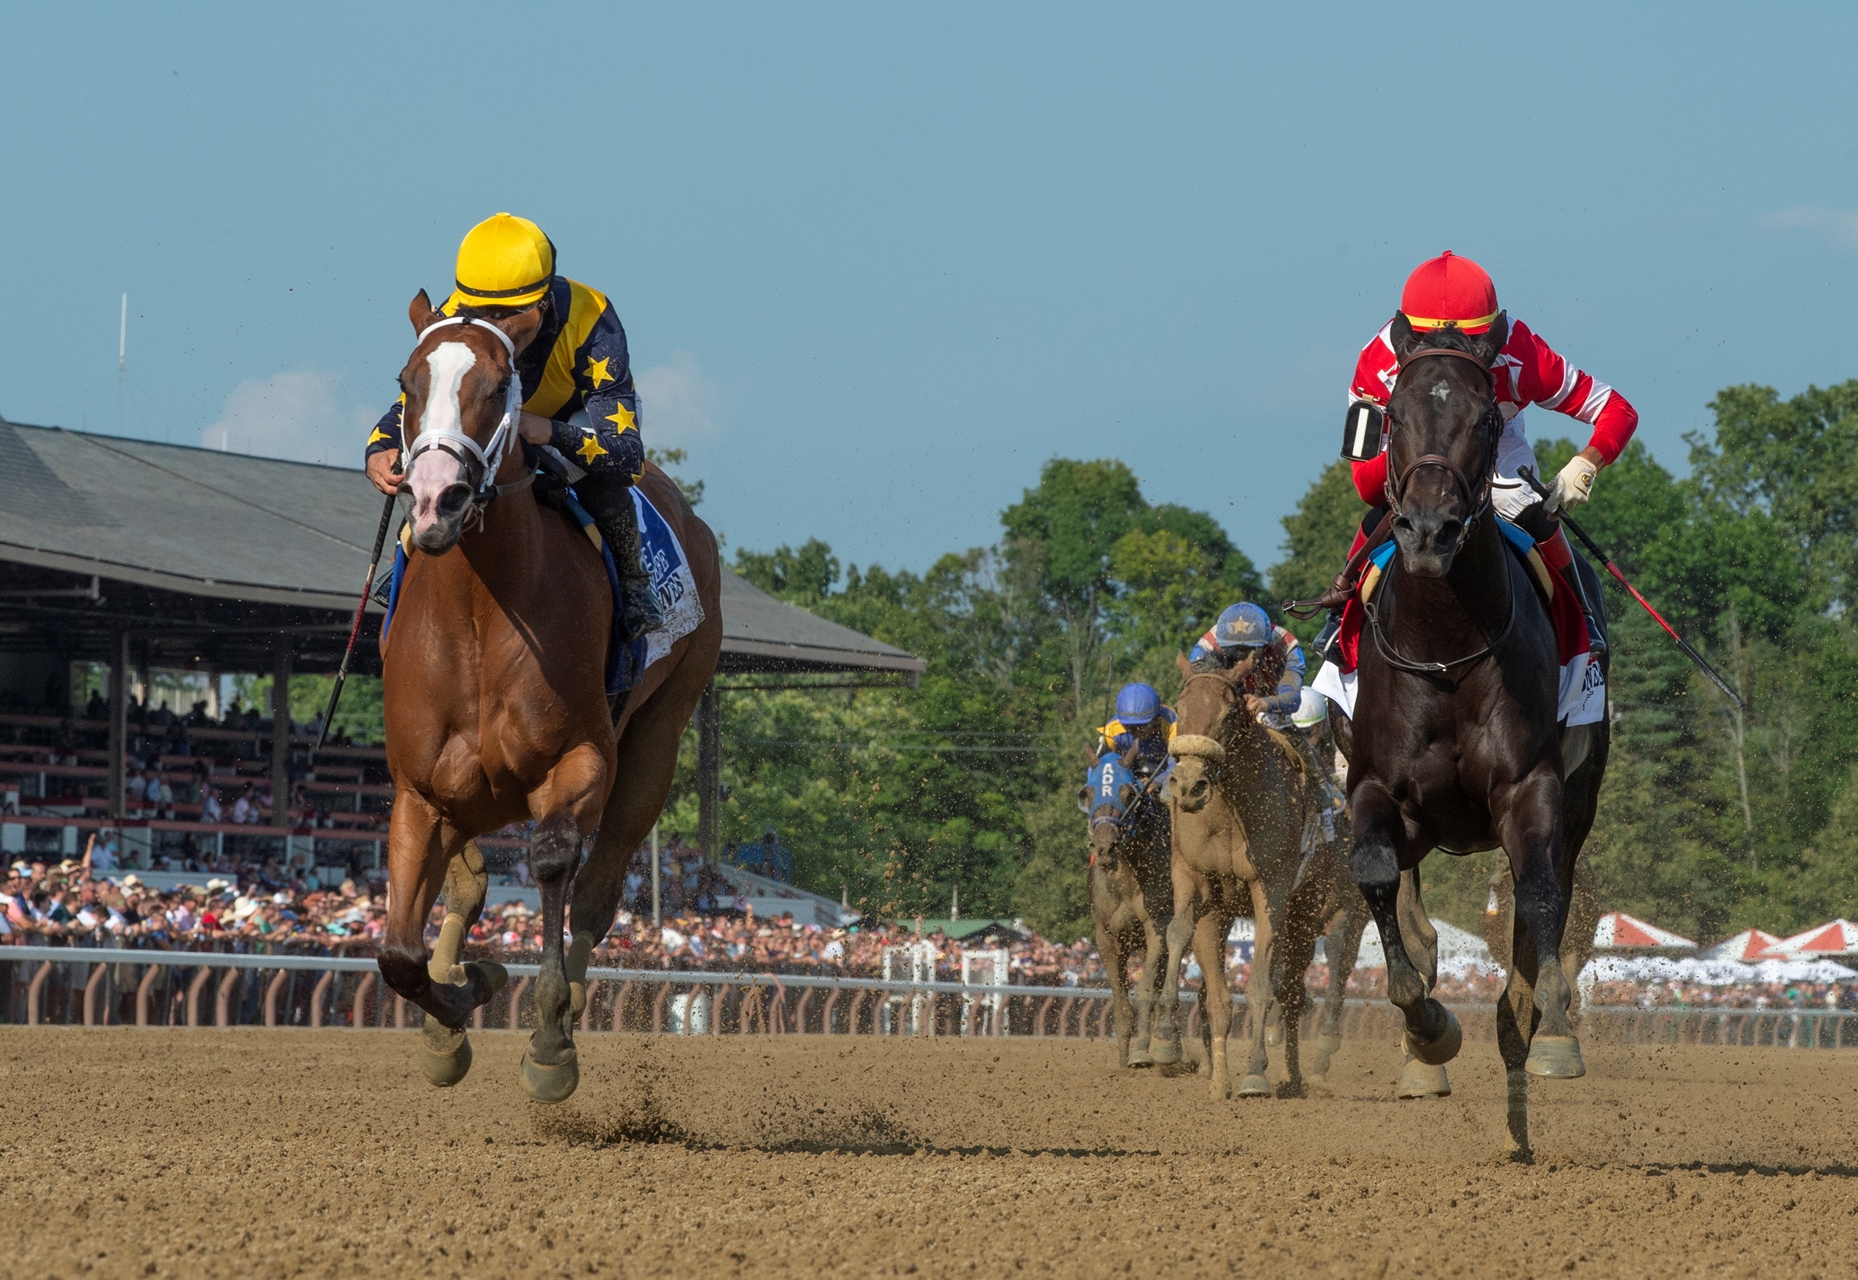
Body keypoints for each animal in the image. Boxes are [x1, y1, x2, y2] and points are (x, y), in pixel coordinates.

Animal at [379, 289, 724, 1099]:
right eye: (408, 383)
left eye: (496, 385)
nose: (435, 501)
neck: (479, 617)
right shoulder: (418, 790)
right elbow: (398, 955)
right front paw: (461, 999)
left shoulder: (581, 758)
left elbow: (552, 858)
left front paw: (547, 1036)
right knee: (467, 886)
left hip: (661, 732)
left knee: (596, 889)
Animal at [1085, 743, 1166, 1062]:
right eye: (1087, 793)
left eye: (1129, 793)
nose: (1105, 847)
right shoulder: (1106, 937)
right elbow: (1121, 1005)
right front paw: (1122, 1059)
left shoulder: (1157, 928)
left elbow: (1146, 993)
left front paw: (1142, 1054)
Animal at [1151, 657, 1315, 1099]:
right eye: (1180, 708)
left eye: (1227, 714)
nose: (1189, 786)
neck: (1230, 811)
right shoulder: (1193, 878)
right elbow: (1181, 937)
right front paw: (1168, 1038)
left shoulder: (1270, 887)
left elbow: (1259, 987)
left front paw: (1255, 1073)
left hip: (1318, 914)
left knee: (1293, 990)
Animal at [1337, 313, 1612, 1151]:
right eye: (1391, 418)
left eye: (1488, 419)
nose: (1430, 530)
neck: (1443, 642)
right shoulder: (1373, 786)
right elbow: (1375, 877)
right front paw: (1428, 1028)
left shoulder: (1533, 787)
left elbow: (1540, 897)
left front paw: (1540, 1028)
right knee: (1413, 904)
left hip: (1582, 791)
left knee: (1549, 886)